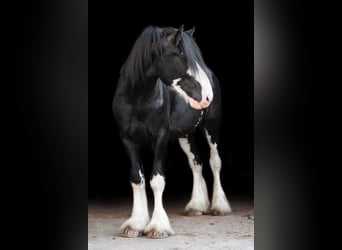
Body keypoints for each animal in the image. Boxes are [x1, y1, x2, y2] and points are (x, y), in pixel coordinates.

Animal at [113, 25, 231, 238]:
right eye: (182, 55)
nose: (207, 96)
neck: (138, 98)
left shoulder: (160, 138)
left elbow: (157, 180)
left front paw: (157, 227)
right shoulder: (127, 139)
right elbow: (137, 179)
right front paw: (135, 224)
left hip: (211, 127)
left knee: (215, 162)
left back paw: (219, 207)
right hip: (185, 135)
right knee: (196, 163)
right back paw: (196, 206)